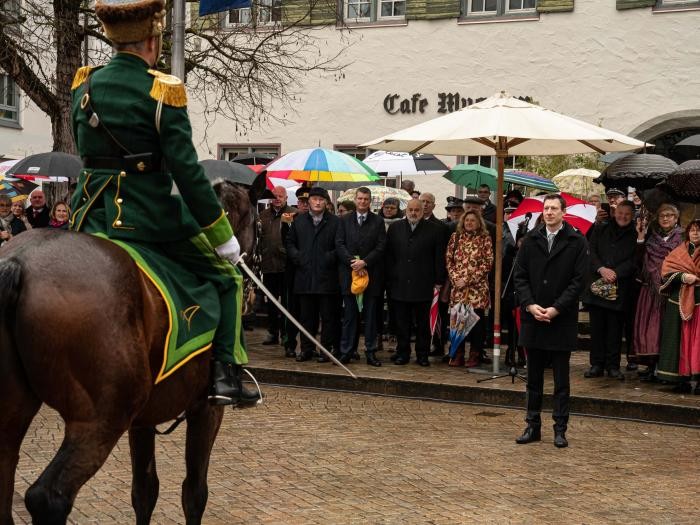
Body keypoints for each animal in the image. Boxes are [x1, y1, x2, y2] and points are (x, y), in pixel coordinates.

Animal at [0, 180, 260, 524]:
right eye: (257, 222)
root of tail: (19, 261)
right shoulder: (206, 409)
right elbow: (194, 492)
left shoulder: (143, 420)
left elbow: (144, 491)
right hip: (102, 418)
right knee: (47, 497)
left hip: (12, 419)